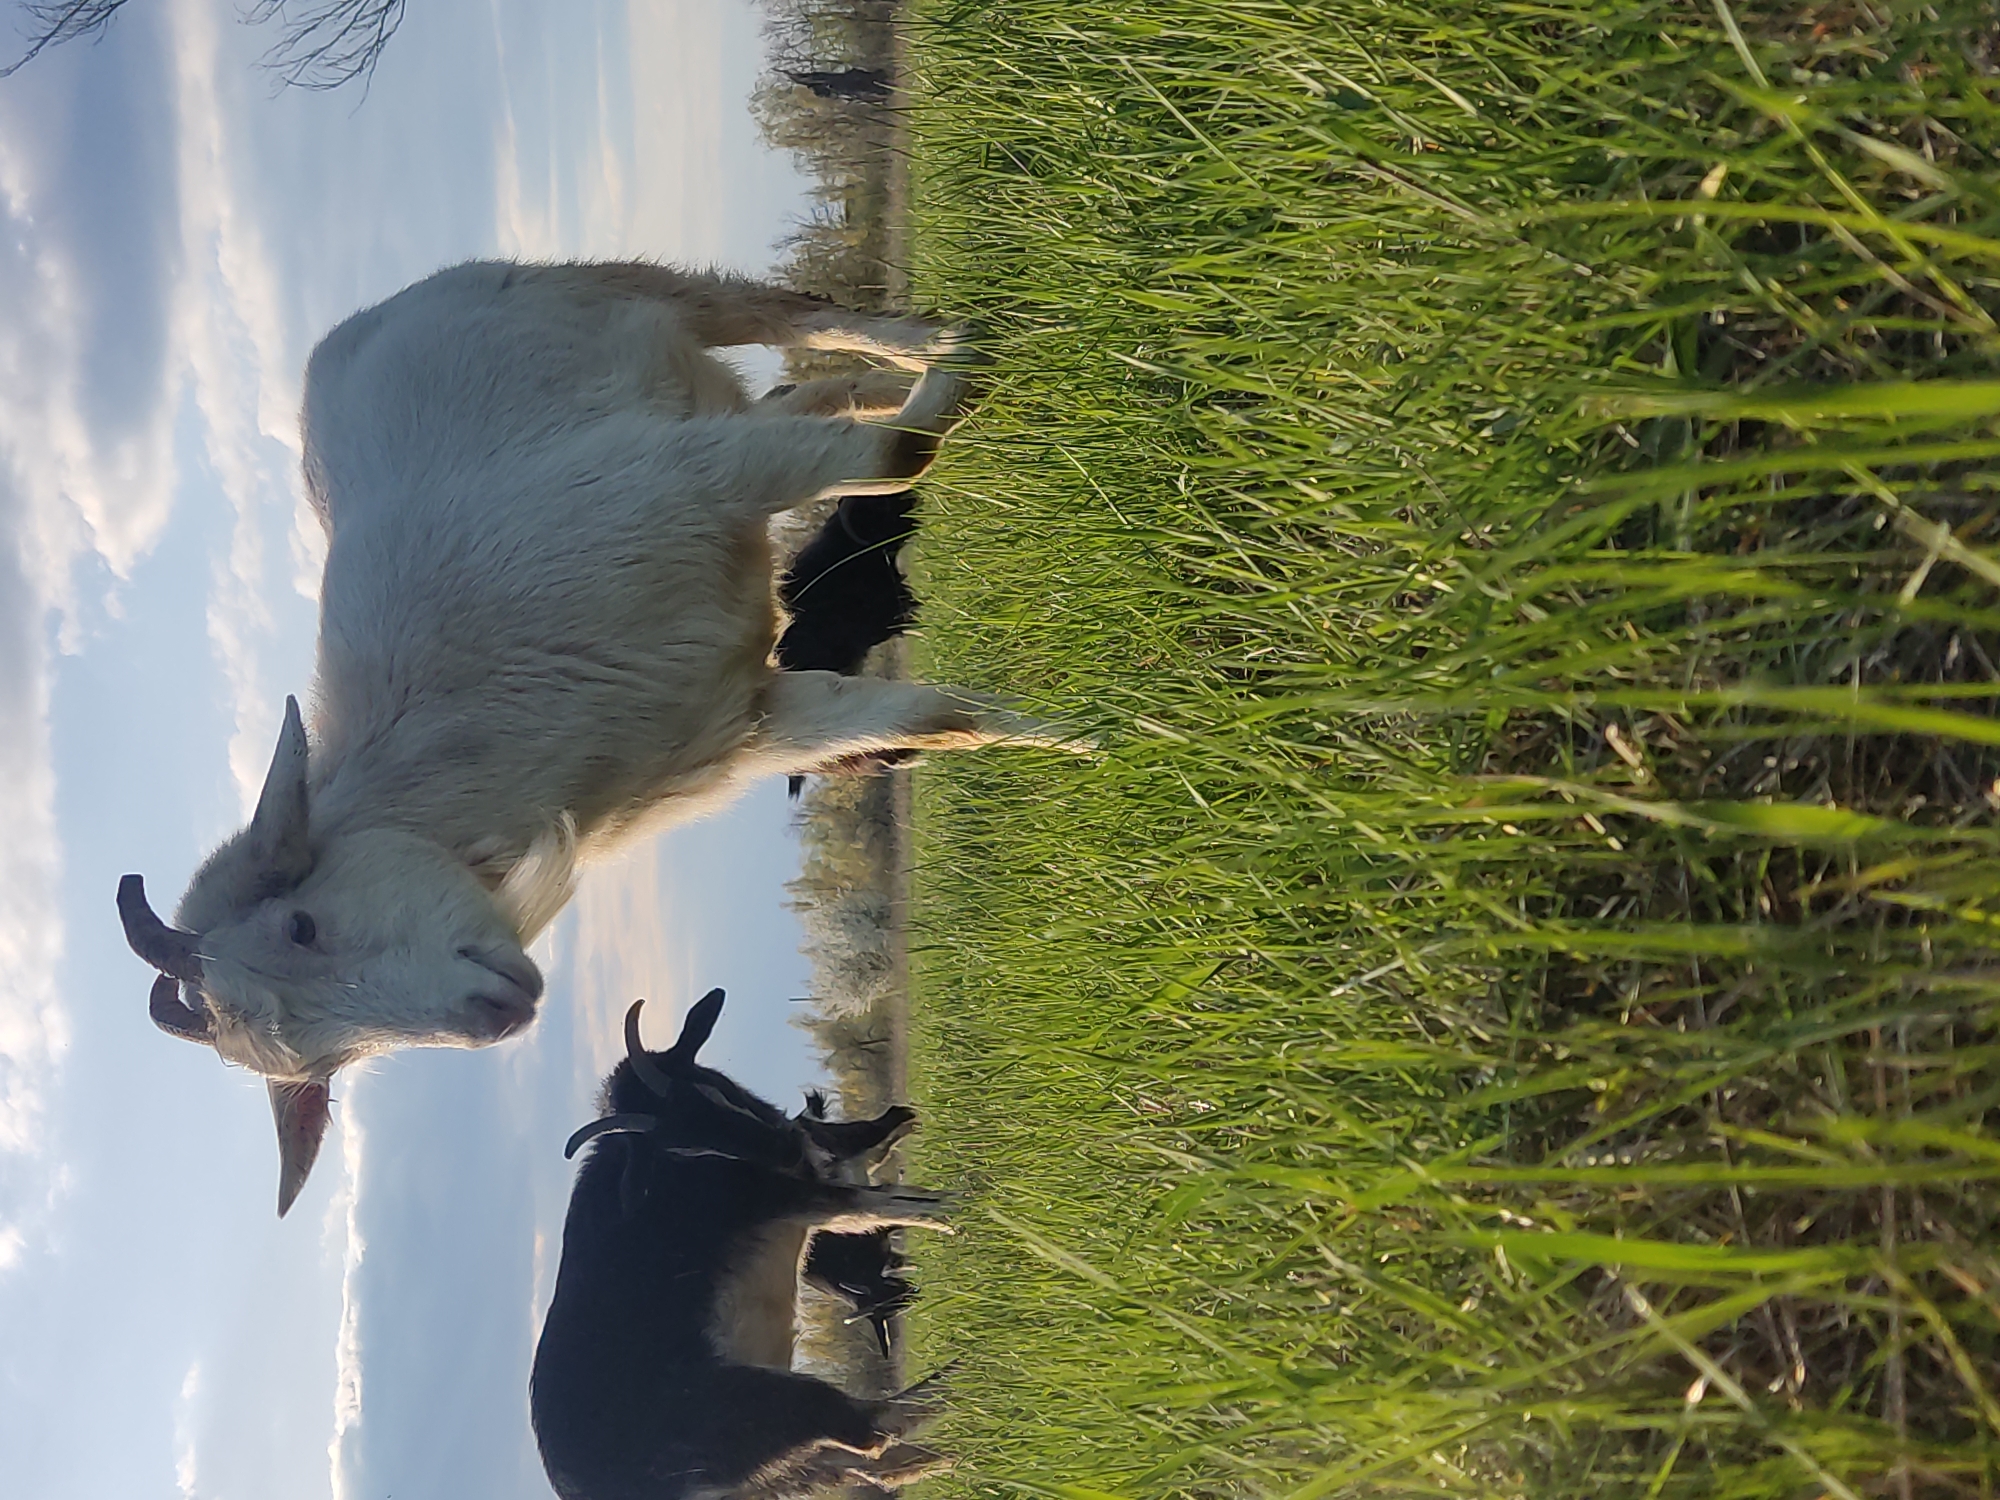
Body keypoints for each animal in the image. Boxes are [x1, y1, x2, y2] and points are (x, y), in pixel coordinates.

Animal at [114, 261, 1082, 1213]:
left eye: (302, 925)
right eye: (328, 1057)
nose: (496, 1016)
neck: (484, 749)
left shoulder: (695, 475)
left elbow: (895, 456)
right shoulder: (752, 722)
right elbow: (932, 717)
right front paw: (1074, 738)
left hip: (607, 292)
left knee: (792, 320)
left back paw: (942, 343)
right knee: (809, 389)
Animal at [533, 991, 951, 1500]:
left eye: (711, 1088)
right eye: (681, 1145)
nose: (785, 1148)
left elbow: (885, 1195)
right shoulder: (787, 1197)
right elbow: (871, 1204)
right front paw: (959, 1207)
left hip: (791, 1466)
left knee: (873, 1458)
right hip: (760, 1406)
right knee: (871, 1429)